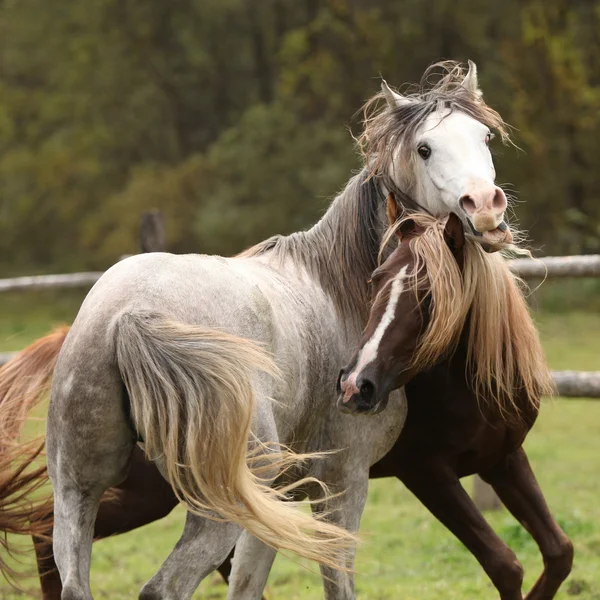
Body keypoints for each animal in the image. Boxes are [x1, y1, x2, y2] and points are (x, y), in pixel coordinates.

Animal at [338, 204, 572, 596]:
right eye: (376, 280)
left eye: (430, 293)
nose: (357, 385)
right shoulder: (425, 472)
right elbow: (505, 565)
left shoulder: (503, 459)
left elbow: (559, 552)